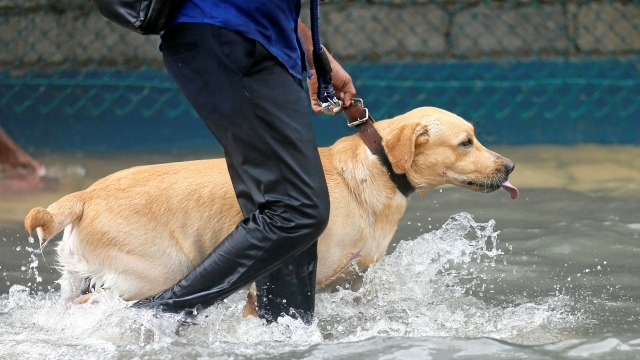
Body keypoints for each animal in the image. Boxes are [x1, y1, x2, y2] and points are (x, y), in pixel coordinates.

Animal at [23, 105, 520, 310]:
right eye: (466, 142)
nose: (510, 165)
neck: (375, 170)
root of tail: (84, 196)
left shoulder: (352, 280)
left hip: (82, 276)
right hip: (153, 275)